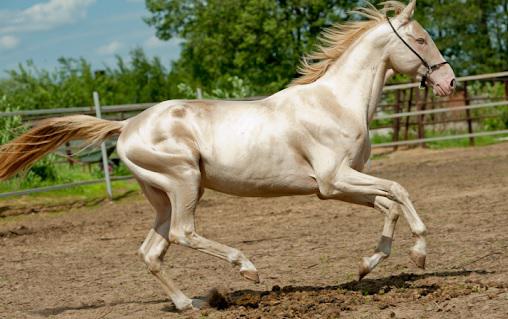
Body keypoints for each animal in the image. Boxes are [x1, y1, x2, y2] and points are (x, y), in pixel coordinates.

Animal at [0, 0, 456, 312]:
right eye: (421, 39)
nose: (449, 81)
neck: (336, 102)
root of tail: (126, 126)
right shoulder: (334, 180)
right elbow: (399, 190)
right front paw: (419, 253)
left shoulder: (336, 186)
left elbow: (388, 204)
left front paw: (367, 265)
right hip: (185, 183)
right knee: (183, 234)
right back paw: (246, 268)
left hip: (162, 197)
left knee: (152, 251)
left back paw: (187, 304)